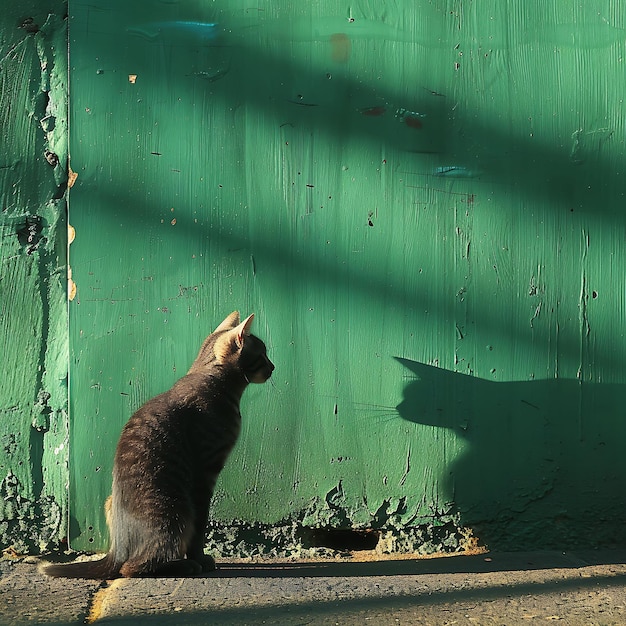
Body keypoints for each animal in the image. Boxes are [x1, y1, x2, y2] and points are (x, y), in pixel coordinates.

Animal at [41, 310, 270, 576]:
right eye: (262, 355)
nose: (273, 366)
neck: (211, 379)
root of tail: (117, 551)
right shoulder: (205, 475)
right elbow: (200, 528)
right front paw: (200, 558)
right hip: (176, 512)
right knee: (132, 567)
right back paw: (184, 564)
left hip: (113, 502)